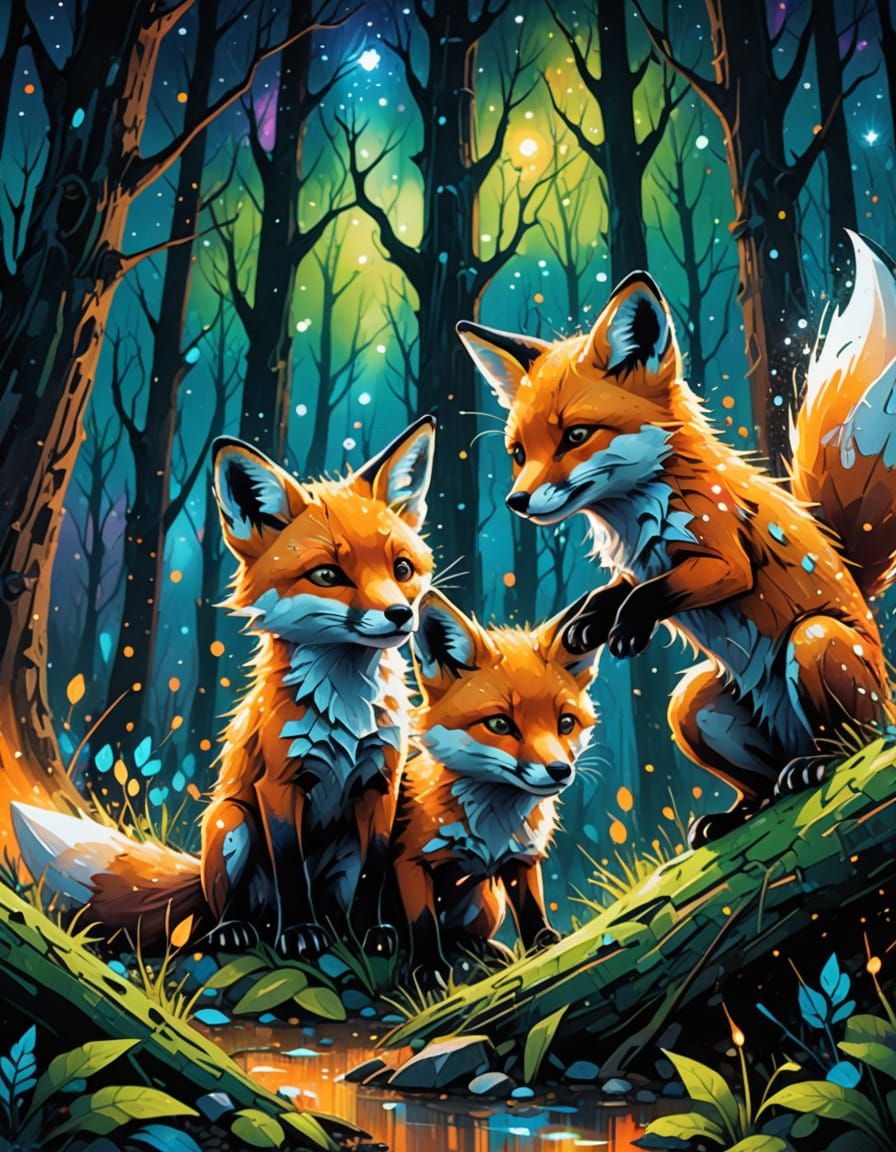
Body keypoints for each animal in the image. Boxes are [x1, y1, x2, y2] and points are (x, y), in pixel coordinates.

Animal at [13, 416, 437, 958]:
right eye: (327, 574)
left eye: (401, 569)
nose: (400, 615)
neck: (345, 709)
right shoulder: (277, 785)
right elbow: (290, 872)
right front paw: (299, 934)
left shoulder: (381, 782)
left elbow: (376, 869)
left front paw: (373, 933)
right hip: (231, 825)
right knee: (229, 908)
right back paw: (239, 929)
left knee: (331, 896)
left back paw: (339, 928)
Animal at [390, 589, 601, 976]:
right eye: (500, 725)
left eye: (565, 723)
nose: (560, 770)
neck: (493, 826)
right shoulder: (409, 861)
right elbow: (423, 922)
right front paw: (428, 969)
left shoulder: (522, 858)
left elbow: (532, 908)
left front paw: (543, 943)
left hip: (487, 902)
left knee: (463, 935)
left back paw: (481, 949)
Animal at [456, 232, 896, 847]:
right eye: (519, 452)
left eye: (576, 435)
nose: (517, 502)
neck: (637, 511)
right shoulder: (639, 564)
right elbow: (615, 591)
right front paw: (590, 622)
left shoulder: (725, 557)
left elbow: (654, 592)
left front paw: (625, 628)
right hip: (689, 705)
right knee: (761, 789)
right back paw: (733, 814)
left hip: (814, 642)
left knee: (857, 738)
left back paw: (820, 763)